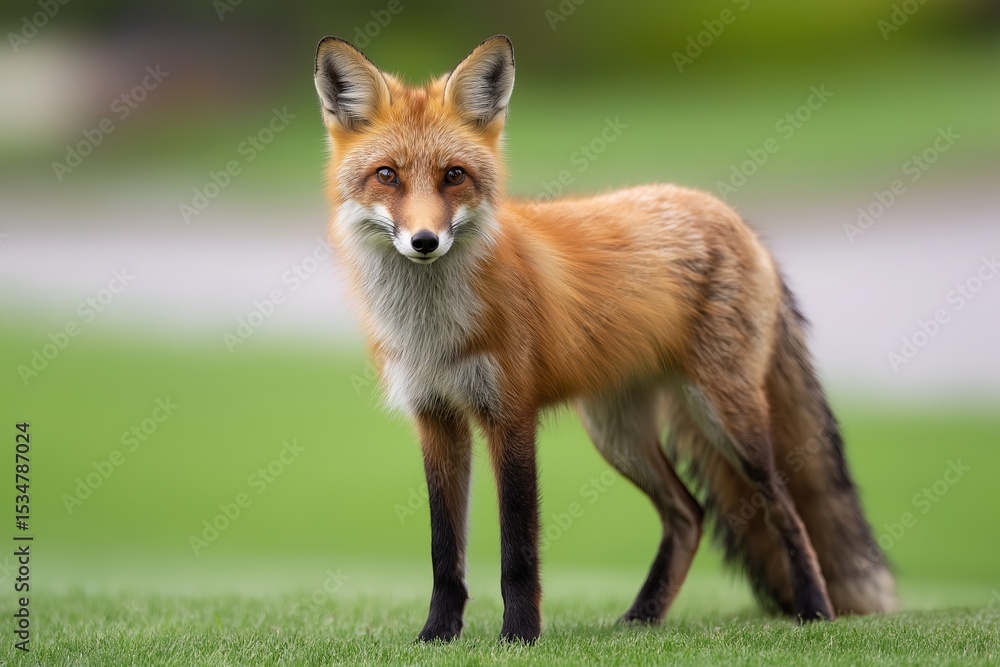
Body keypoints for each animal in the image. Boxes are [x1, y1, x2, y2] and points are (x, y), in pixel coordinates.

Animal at [313, 34, 898, 643]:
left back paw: (814, 608)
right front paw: (438, 634)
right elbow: (443, 549)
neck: (432, 329)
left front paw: (519, 635)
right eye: (387, 175)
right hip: (617, 433)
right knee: (689, 515)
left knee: (785, 508)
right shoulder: (434, 418)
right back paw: (643, 616)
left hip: (726, 417)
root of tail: (733, 216)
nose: (424, 241)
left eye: (454, 175)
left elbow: (518, 549)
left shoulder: (510, 413)